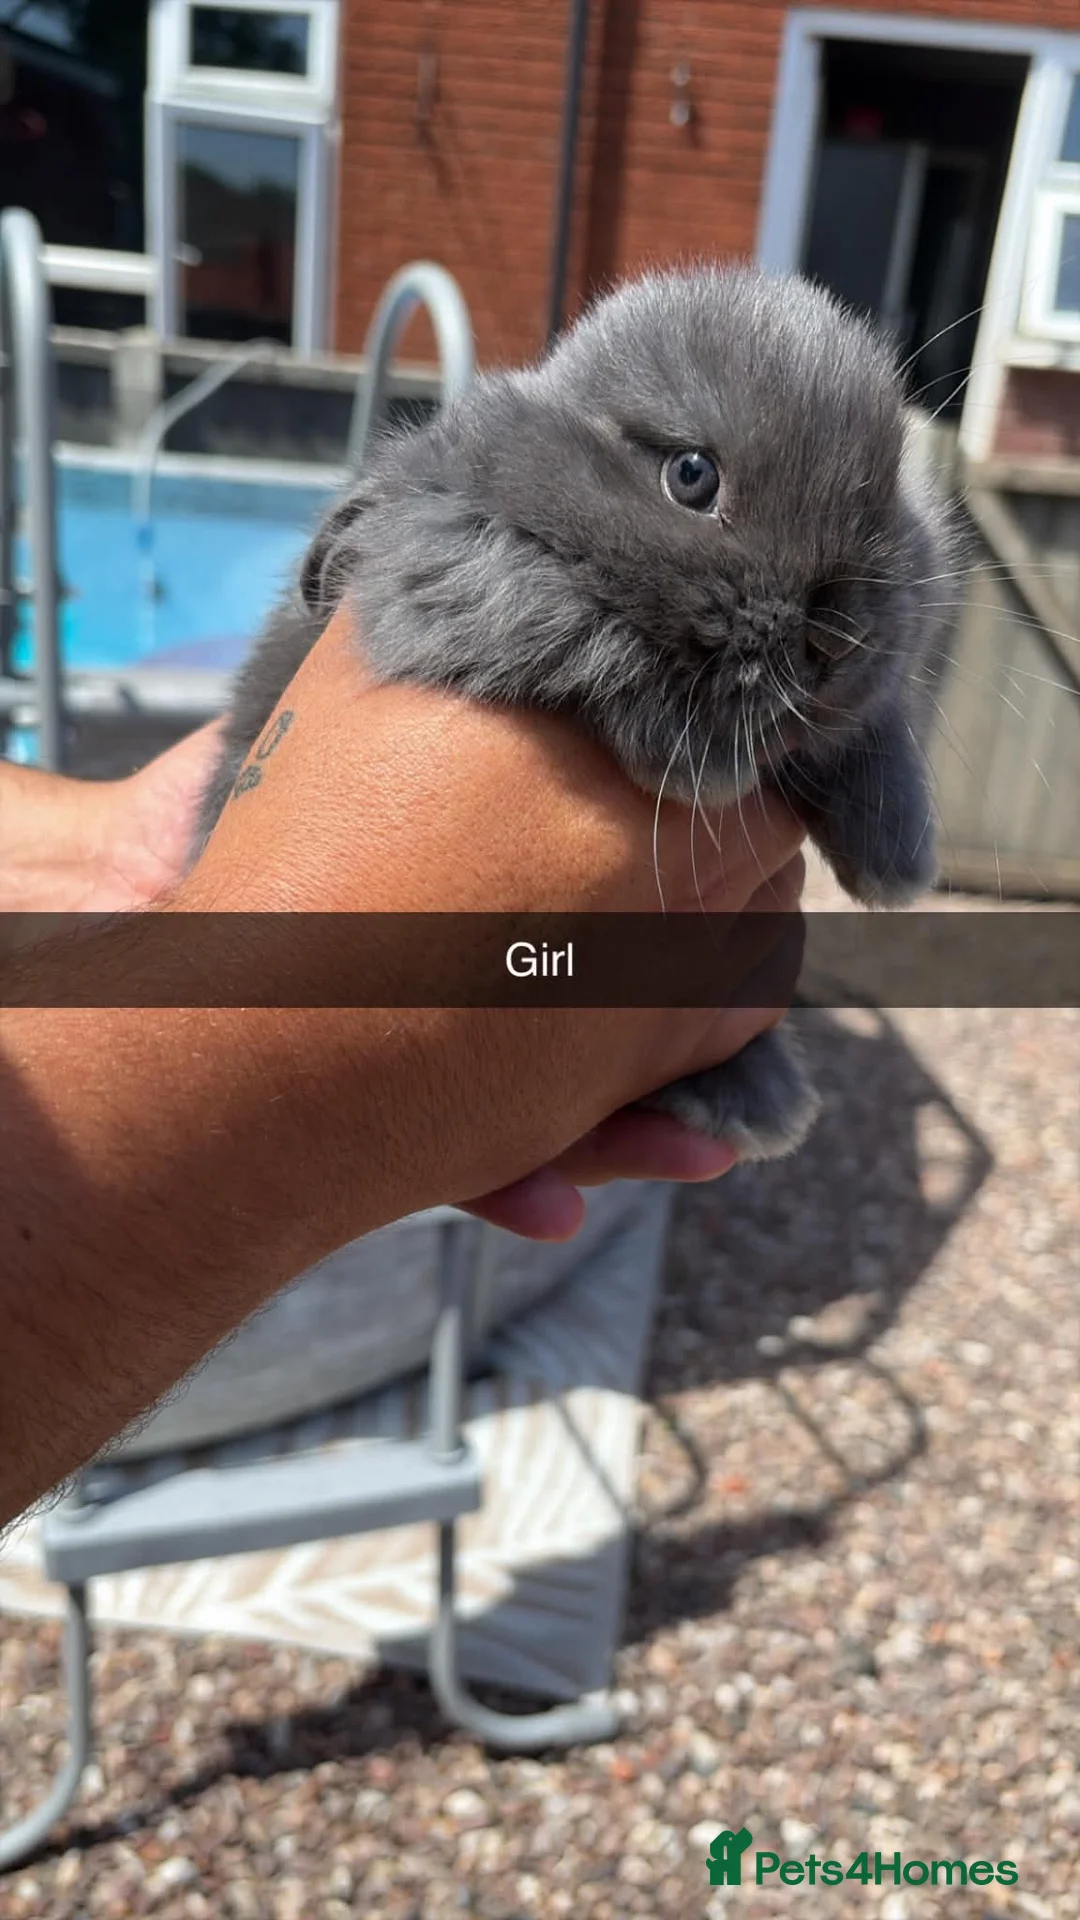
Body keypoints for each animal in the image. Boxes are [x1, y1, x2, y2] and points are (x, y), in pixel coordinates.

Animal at [191, 265, 949, 1162]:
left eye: (890, 490)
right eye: (693, 476)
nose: (837, 637)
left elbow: (868, 723)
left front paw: (895, 864)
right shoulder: (454, 571)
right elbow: (571, 622)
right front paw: (697, 765)